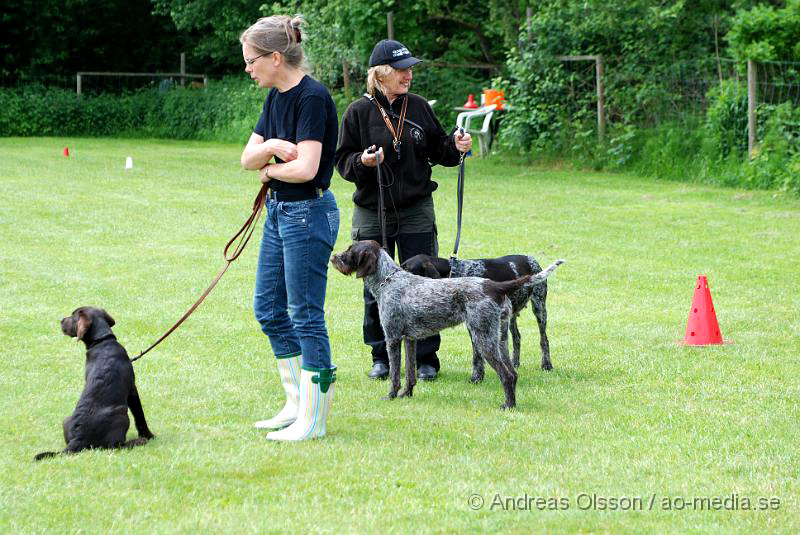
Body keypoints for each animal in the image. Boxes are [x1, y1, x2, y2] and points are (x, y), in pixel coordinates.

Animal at [35, 308, 155, 462]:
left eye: (73, 317)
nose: (61, 320)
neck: (102, 341)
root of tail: (78, 439)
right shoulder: (132, 390)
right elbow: (139, 415)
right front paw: (149, 436)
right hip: (122, 414)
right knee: (115, 446)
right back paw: (139, 441)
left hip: (66, 419)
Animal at [330, 241, 564, 408]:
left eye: (350, 250)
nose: (333, 257)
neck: (388, 280)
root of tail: (495, 286)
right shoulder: (410, 339)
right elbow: (410, 374)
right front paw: (407, 395)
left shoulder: (393, 338)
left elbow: (396, 375)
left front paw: (391, 396)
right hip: (499, 338)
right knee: (513, 372)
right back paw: (512, 402)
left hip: (485, 338)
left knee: (507, 373)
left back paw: (508, 405)